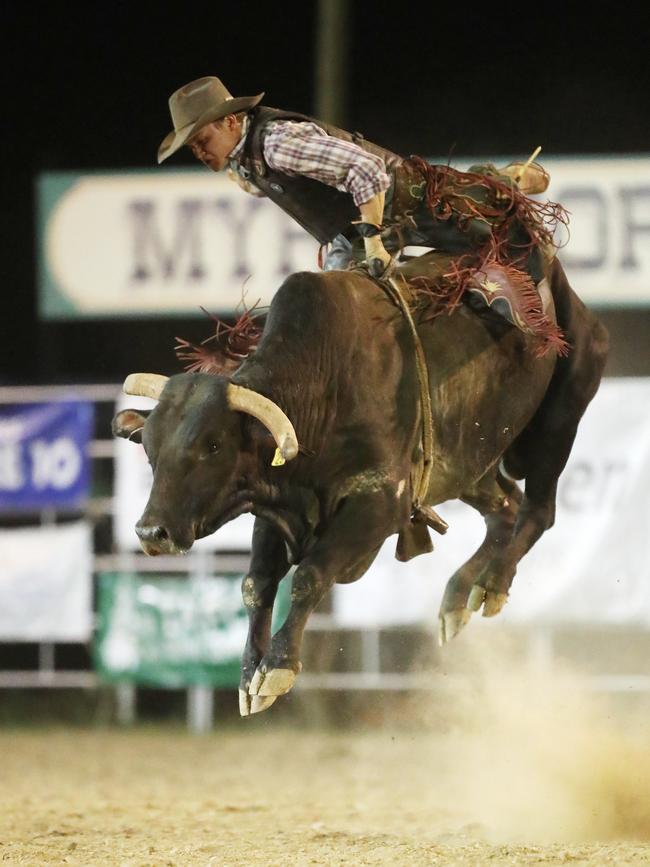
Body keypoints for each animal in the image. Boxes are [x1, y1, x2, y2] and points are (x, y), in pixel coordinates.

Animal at [112, 254, 608, 716]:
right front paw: (249, 675)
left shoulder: (380, 504)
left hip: (559, 420)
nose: (151, 532)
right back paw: (457, 599)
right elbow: (255, 584)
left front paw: (277, 669)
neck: (322, 387)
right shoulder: (274, 504)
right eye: (149, 448)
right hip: (471, 467)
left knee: (538, 510)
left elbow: (310, 575)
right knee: (505, 508)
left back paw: (492, 584)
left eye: (213, 444)